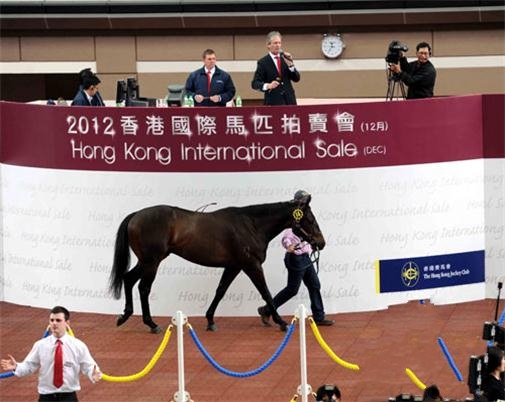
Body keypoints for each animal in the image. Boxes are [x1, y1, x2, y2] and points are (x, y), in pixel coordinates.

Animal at [108, 192, 324, 332]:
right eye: (310, 219)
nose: (321, 243)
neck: (251, 225)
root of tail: (135, 216)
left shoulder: (234, 266)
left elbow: (220, 291)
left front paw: (210, 320)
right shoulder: (251, 265)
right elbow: (266, 292)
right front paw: (281, 321)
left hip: (146, 261)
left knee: (128, 279)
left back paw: (124, 316)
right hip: (152, 262)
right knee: (143, 288)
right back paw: (151, 324)